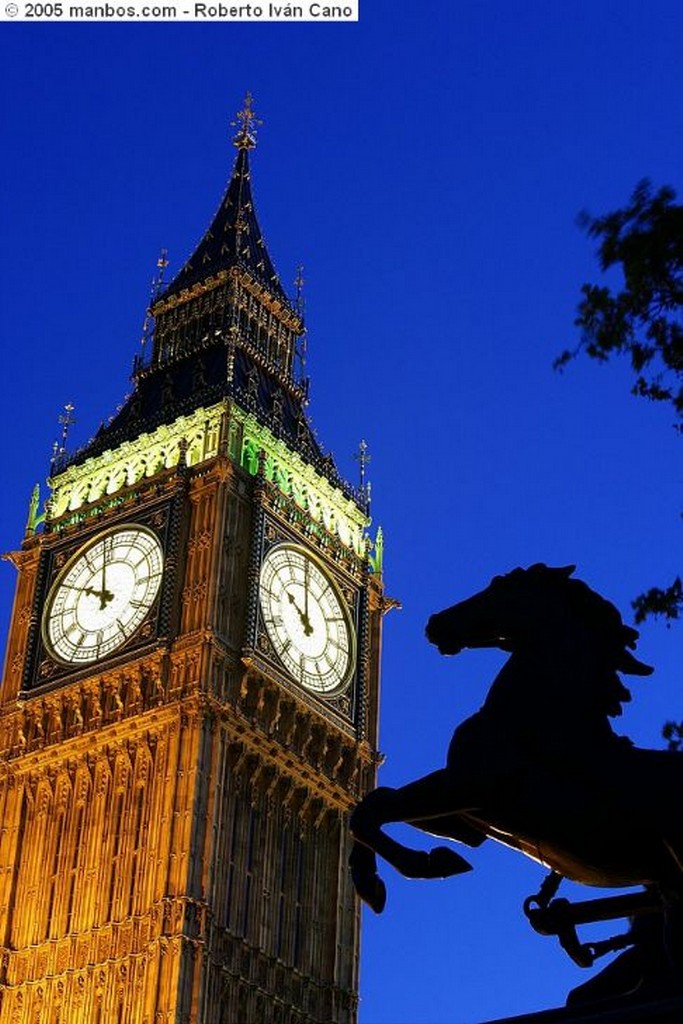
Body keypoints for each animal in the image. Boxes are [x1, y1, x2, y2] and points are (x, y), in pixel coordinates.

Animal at [352, 565, 683, 995]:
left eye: (497, 587)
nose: (436, 623)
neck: (538, 719)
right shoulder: (470, 817)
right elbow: (372, 806)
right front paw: (406, 868)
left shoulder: (465, 785)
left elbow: (373, 808)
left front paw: (410, 869)